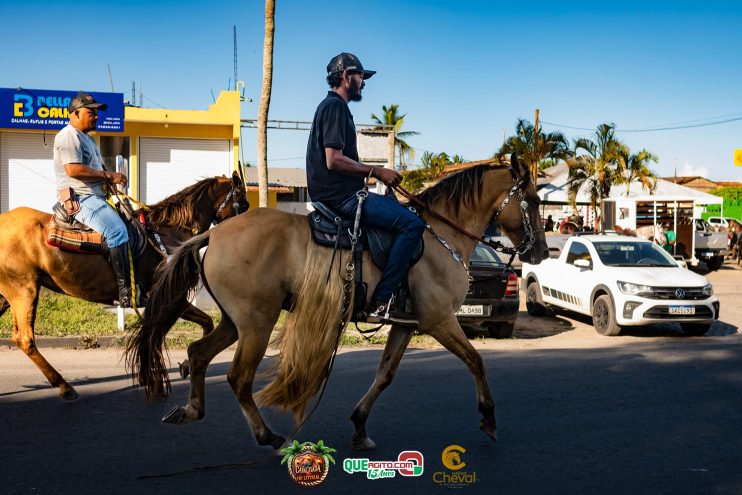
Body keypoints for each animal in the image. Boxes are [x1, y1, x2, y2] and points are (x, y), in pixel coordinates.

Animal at [0, 172, 250, 402]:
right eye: (243, 201)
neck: (166, 235)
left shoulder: (173, 300)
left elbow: (205, 322)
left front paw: (184, 366)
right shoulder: (169, 299)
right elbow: (154, 336)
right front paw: (154, 381)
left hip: (7, 296)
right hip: (23, 290)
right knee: (25, 339)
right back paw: (64, 386)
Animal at [128, 155, 548, 450]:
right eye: (531, 201)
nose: (541, 252)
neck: (439, 235)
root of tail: (213, 235)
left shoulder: (405, 325)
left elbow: (385, 375)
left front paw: (360, 425)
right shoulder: (440, 320)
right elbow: (476, 361)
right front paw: (488, 418)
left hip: (236, 323)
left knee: (199, 354)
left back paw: (191, 409)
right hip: (256, 323)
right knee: (238, 378)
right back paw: (268, 436)